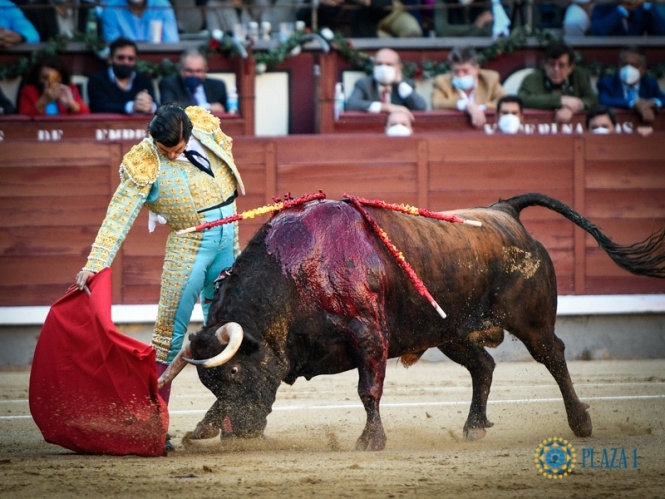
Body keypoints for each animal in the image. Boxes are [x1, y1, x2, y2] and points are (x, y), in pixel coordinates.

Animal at [158, 193, 660, 452]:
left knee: (553, 356)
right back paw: (474, 426)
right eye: (211, 383)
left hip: (530, 319)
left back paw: (581, 422)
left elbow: (369, 389)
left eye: (235, 373)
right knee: (484, 365)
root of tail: (506, 212)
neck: (297, 269)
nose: (241, 433)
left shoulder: (369, 335)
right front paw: (201, 430)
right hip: (450, 331)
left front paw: (370, 440)